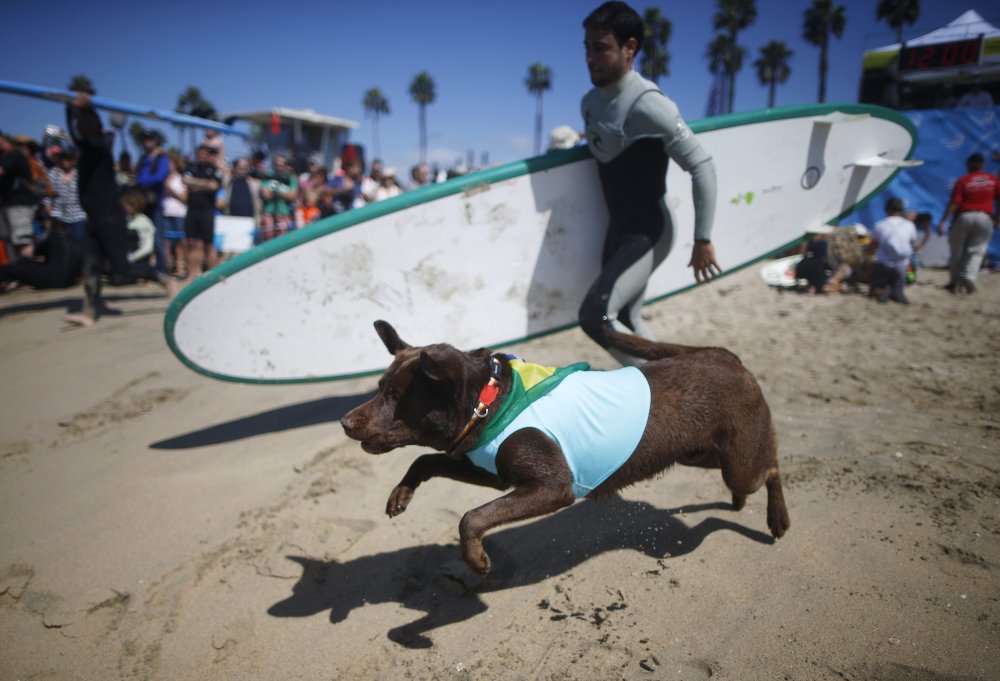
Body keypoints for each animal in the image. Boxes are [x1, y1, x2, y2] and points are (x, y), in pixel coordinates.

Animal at [344, 320, 788, 572]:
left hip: (739, 461)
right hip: (699, 453)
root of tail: (725, 355)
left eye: (395, 396)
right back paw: (738, 503)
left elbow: (471, 517)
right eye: (379, 387)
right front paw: (400, 495)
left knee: (769, 468)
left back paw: (777, 518)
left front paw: (476, 560)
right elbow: (425, 459)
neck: (490, 401)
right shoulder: (495, 474)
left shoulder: (552, 487)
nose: (346, 422)